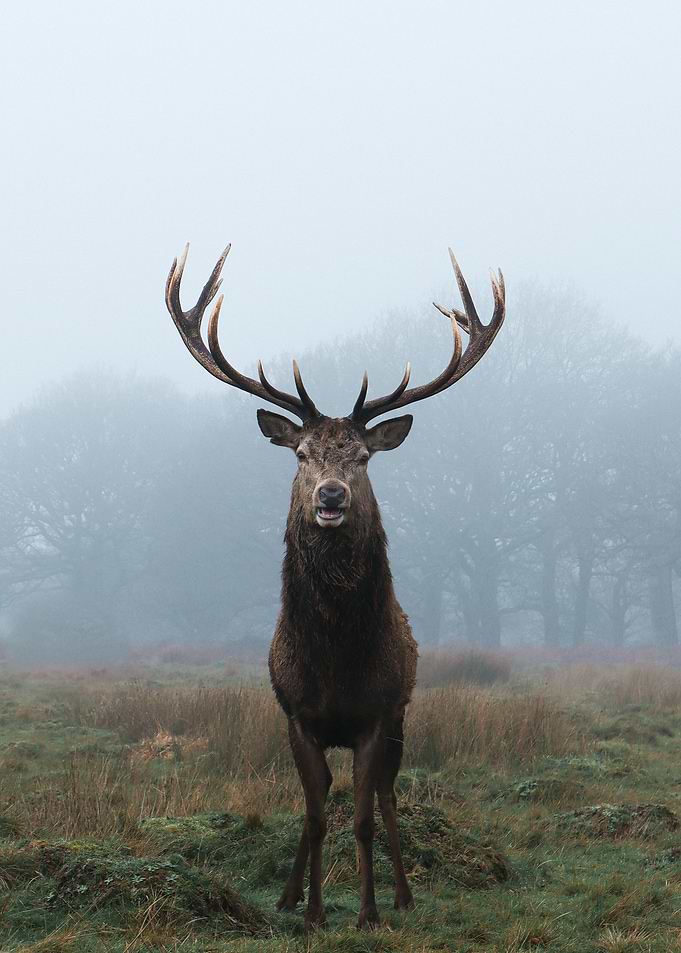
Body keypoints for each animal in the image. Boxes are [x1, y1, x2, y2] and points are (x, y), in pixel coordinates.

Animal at [165, 244, 505, 930]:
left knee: (389, 796)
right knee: (318, 799)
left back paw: (402, 894)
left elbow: (364, 817)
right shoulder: (297, 715)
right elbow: (318, 813)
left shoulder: (377, 714)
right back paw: (289, 894)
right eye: (301, 455)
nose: (330, 496)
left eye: (363, 458)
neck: (337, 661)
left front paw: (369, 910)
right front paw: (314, 912)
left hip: (402, 717)